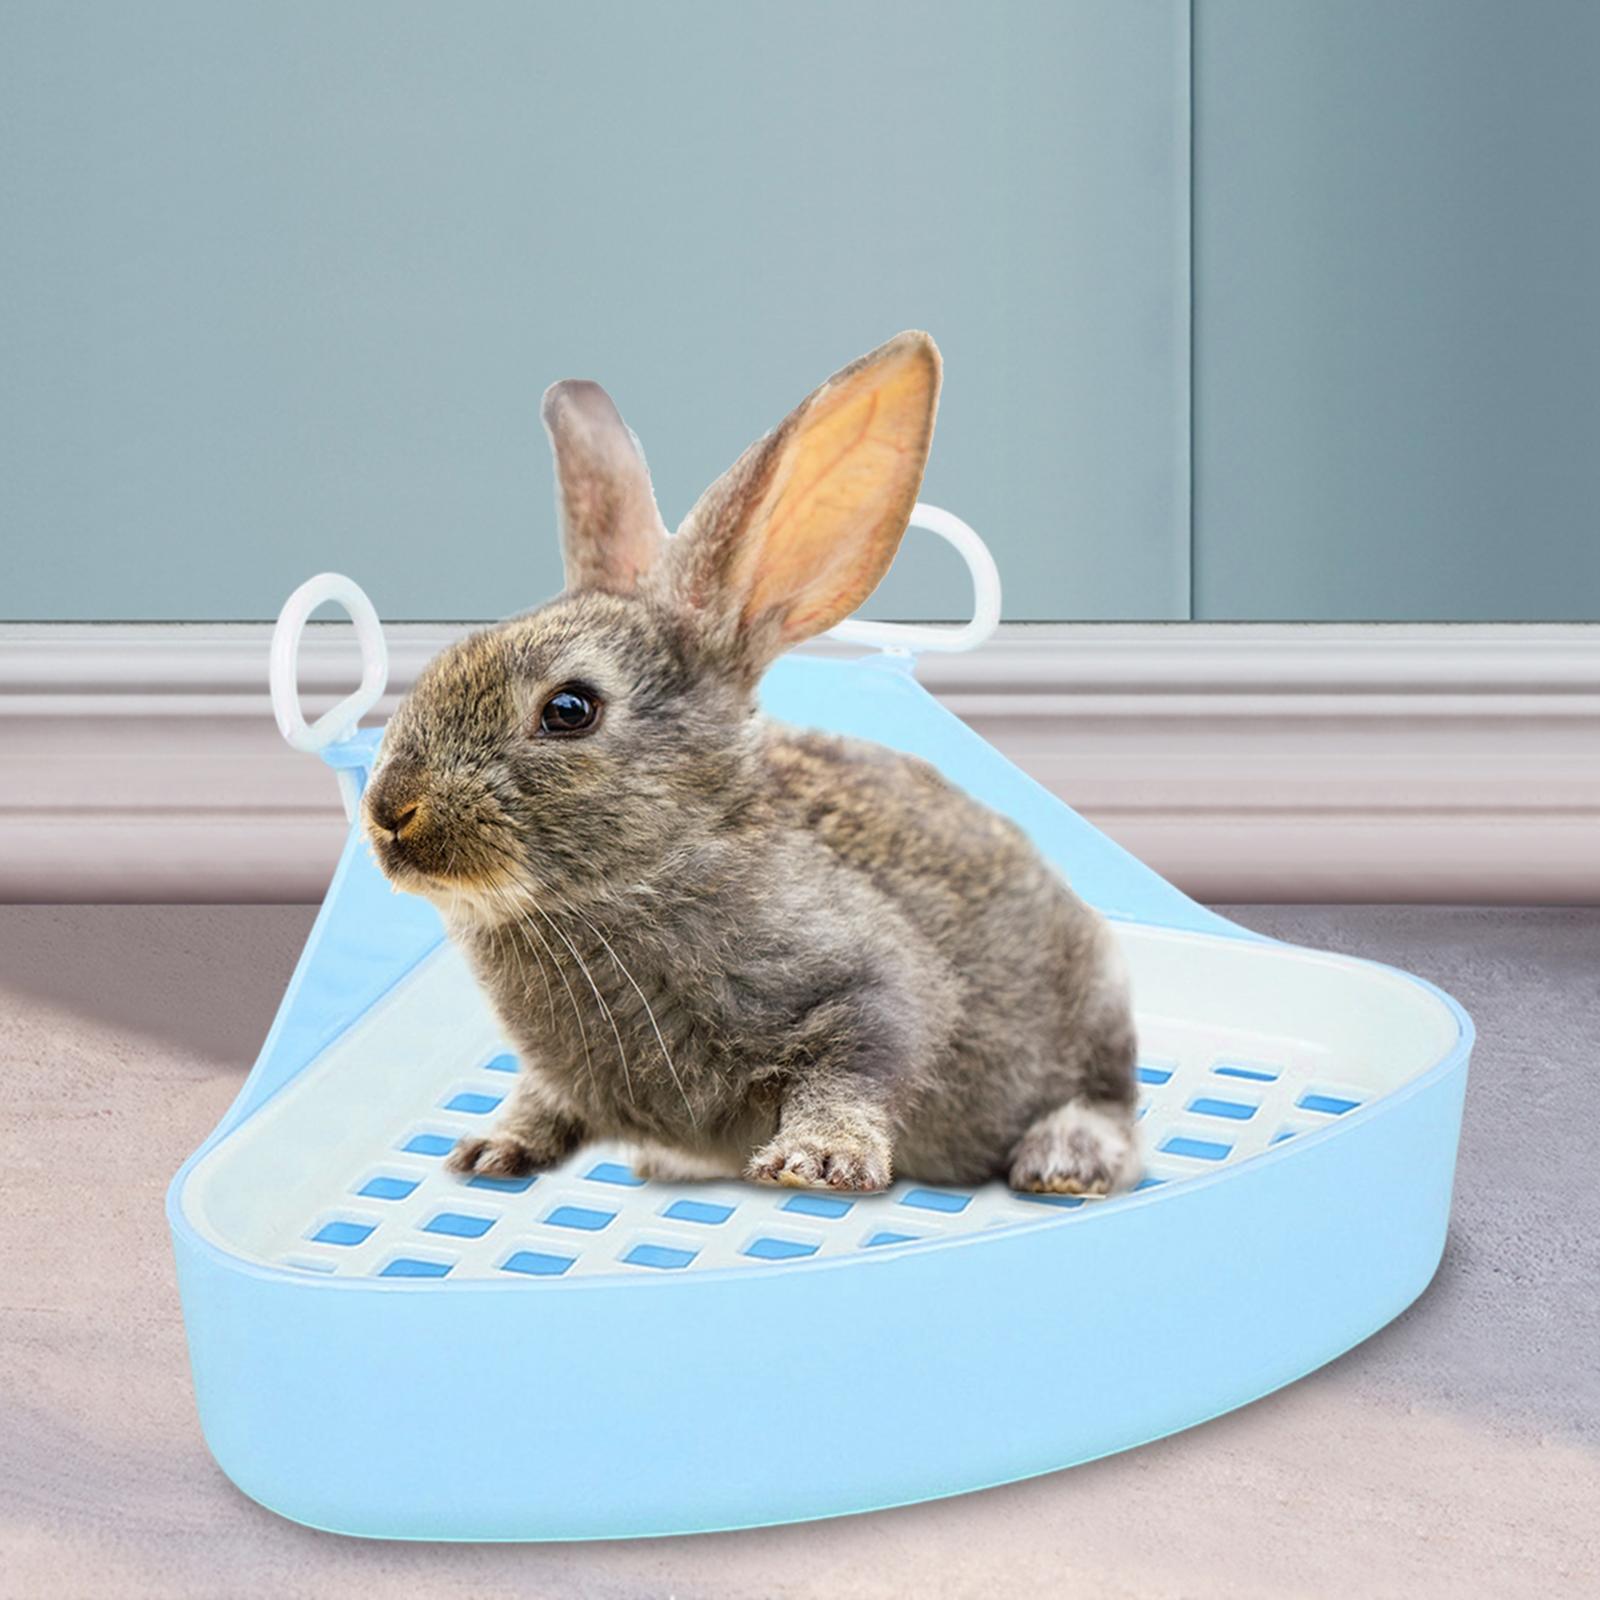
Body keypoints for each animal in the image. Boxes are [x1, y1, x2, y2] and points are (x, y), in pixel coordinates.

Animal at [362, 332, 1140, 1196]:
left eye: (569, 709)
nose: (390, 810)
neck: (651, 872)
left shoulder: (874, 987)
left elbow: (858, 1062)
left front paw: (816, 1161)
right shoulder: (552, 1074)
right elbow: (539, 1098)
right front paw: (490, 1149)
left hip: (1090, 1020)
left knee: (1108, 1103)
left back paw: (1064, 1159)